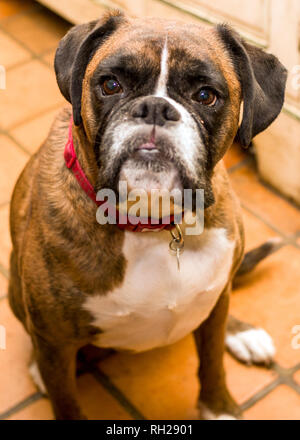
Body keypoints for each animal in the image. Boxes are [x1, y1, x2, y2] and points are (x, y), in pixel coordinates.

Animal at [8, 11, 288, 420]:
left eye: (206, 95)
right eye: (110, 84)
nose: (155, 107)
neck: (151, 223)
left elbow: (212, 362)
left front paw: (218, 406)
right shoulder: (53, 339)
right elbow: (66, 400)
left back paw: (240, 332)